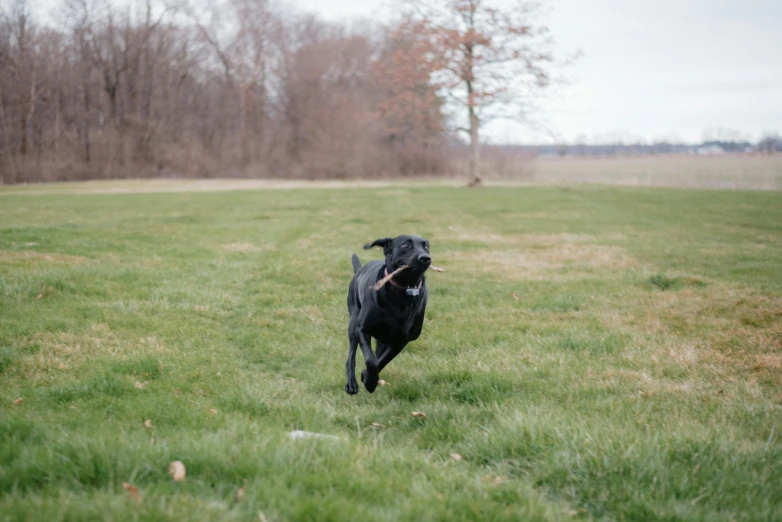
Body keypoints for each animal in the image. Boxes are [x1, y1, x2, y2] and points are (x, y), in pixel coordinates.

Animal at [344, 234, 432, 392]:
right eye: (405, 245)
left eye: (426, 246)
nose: (425, 258)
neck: (402, 291)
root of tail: (359, 271)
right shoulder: (362, 329)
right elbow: (371, 360)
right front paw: (370, 382)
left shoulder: (401, 340)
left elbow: (381, 361)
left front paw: (367, 378)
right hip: (353, 322)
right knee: (351, 356)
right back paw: (351, 384)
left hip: (383, 340)